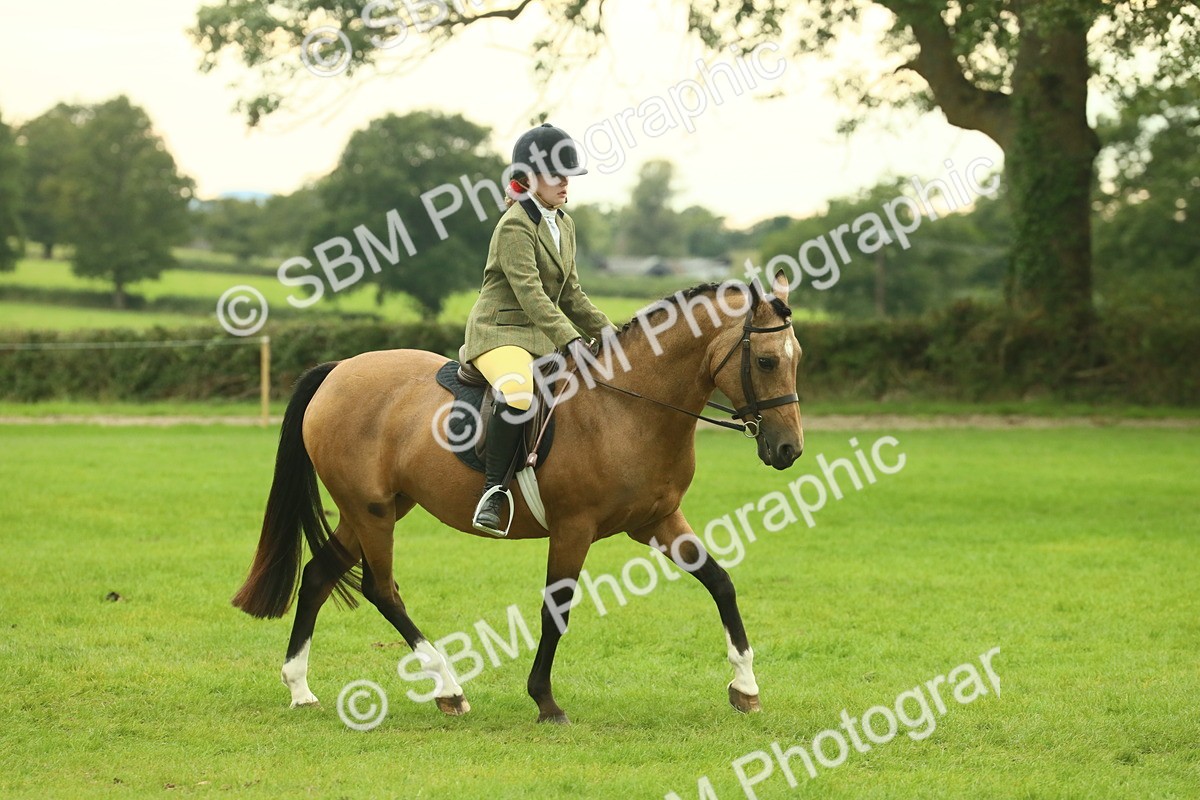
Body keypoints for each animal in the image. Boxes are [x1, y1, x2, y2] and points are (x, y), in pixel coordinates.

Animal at [231, 274, 805, 724]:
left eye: (795, 358)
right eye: (766, 361)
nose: (789, 449)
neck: (630, 407)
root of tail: (339, 370)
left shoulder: (657, 520)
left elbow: (720, 581)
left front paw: (746, 687)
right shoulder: (575, 527)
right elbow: (557, 608)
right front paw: (546, 701)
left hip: (376, 508)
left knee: (319, 575)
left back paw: (300, 688)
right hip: (371, 512)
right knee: (381, 589)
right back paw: (449, 690)